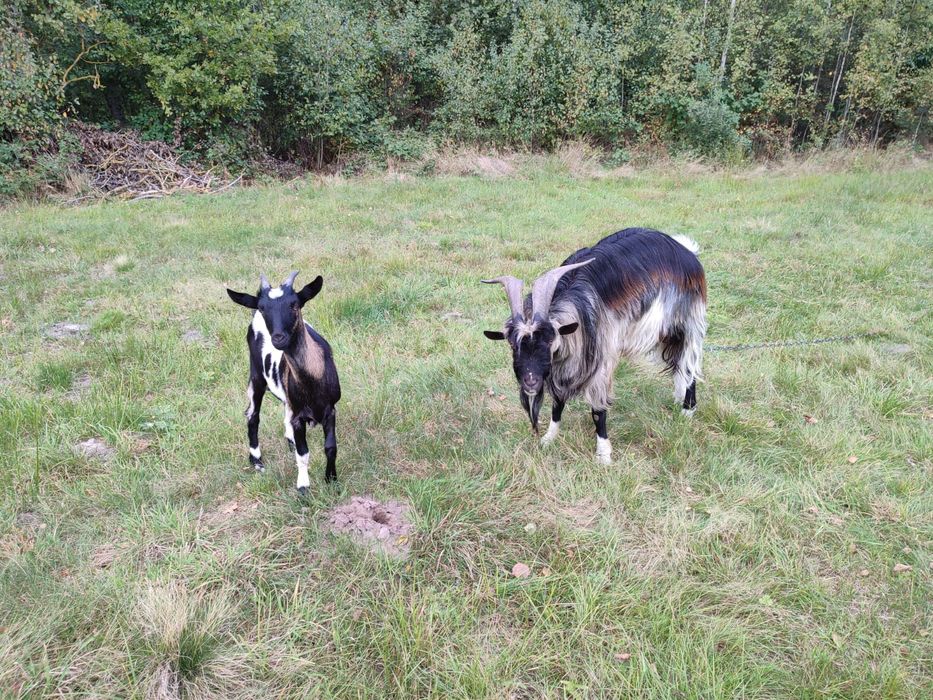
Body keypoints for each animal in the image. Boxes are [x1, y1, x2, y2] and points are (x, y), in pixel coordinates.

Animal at [226, 270, 342, 492]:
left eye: (294, 304)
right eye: (263, 307)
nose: (278, 338)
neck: (312, 383)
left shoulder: (330, 409)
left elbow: (331, 447)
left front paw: (331, 479)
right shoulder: (299, 417)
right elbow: (303, 453)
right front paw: (303, 486)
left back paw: (288, 441)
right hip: (256, 375)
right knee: (252, 414)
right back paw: (256, 460)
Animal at [480, 227, 708, 462]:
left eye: (550, 338)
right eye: (512, 344)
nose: (530, 382)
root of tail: (685, 250)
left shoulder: (601, 359)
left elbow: (598, 412)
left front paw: (604, 453)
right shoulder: (559, 369)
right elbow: (557, 404)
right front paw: (549, 438)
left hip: (687, 323)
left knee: (689, 365)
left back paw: (687, 410)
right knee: (678, 364)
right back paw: (679, 397)